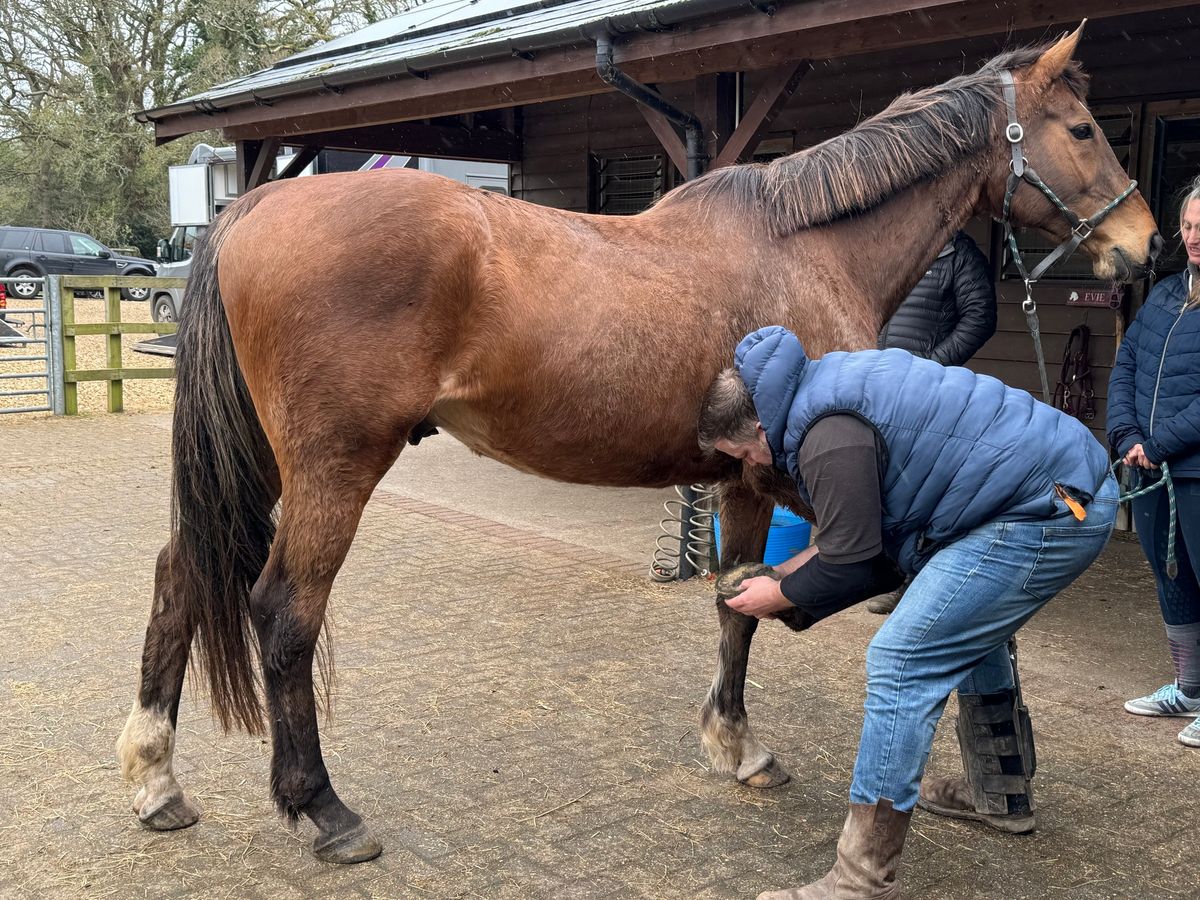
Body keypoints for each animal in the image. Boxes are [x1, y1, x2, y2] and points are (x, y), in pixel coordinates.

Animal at [117, 24, 1156, 864]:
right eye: (1082, 129)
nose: (1144, 247)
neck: (805, 247)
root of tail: (254, 209)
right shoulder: (784, 476)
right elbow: (749, 606)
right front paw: (746, 746)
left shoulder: (742, 479)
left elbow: (737, 601)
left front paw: (735, 744)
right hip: (333, 469)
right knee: (284, 612)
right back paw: (326, 812)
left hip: (258, 462)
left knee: (179, 575)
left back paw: (157, 780)